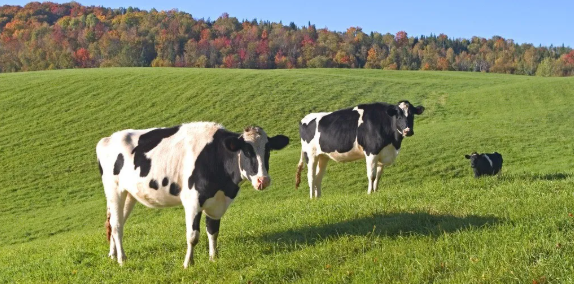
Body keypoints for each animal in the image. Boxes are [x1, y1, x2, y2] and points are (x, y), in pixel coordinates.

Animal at [97, 122, 292, 268]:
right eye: (246, 151)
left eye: (267, 150)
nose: (263, 180)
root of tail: (107, 139)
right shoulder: (192, 200)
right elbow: (193, 236)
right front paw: (188, 264)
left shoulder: (216, 201)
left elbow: (213, 231)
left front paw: (213, 258)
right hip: (114, 190)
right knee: (116, 225)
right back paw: (122, 259)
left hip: (129, 194)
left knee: (115, 221)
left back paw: (112, 255)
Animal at [294, 101, 426, 197]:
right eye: (398, 116)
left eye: (412, 115)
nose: (408, 131)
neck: (393, 144)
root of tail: (305, 118)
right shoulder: (371, 152)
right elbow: (371, 175)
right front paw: (369, 193)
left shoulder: (382, 153)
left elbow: (378, 176)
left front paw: (375, 192)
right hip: (310, 155)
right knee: (311, 177)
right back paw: (312, 198)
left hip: (323, 156)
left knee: (318, 178)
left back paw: (319, 198)